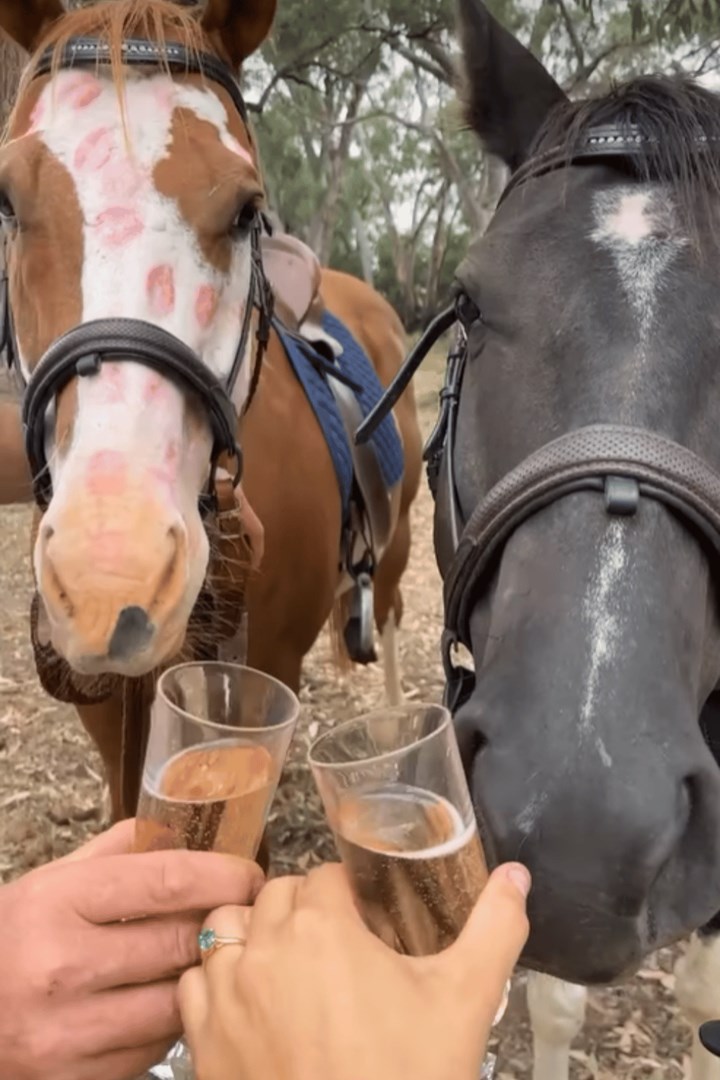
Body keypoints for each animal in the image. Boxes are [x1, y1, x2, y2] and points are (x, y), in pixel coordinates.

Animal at [0, 0, 422, 831]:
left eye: (246, 208)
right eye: (7, 200)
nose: (112, 574)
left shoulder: (262, 672)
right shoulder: (109, 713)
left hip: (396, 544)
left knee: (387, 614)